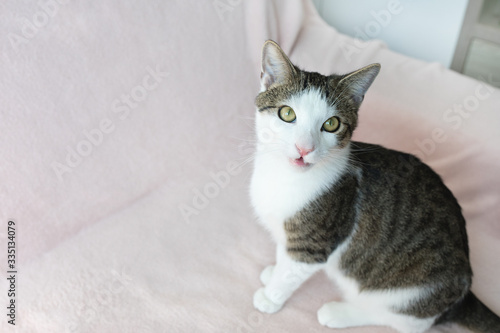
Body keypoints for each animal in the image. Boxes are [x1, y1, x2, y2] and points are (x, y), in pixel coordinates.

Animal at [250, 39, 500, 332]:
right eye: (287, 113)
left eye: (331, 124)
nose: (304, 148)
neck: (283, 176)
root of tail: (464, 292)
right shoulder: (288, 231)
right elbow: (283, 256)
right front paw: (273, 271)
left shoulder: (314, 243)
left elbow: (292, 270)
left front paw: (271, 296)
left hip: (412, 292)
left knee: (403, 320)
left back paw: (340, 313)